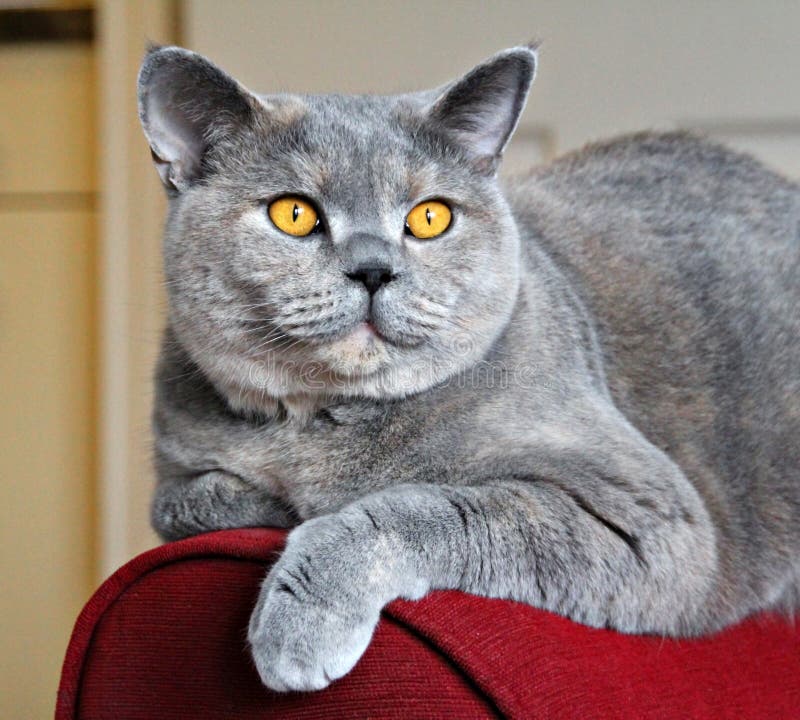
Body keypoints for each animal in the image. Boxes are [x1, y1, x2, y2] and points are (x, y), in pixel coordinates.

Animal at [134, 40, 796, 692]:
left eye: (430, 217)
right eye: (293, 214)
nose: (373, 269)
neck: (322, 425)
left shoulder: (645, 514)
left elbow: (421, 508)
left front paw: (299, 624)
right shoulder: (176, 472)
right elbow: (194, 501)